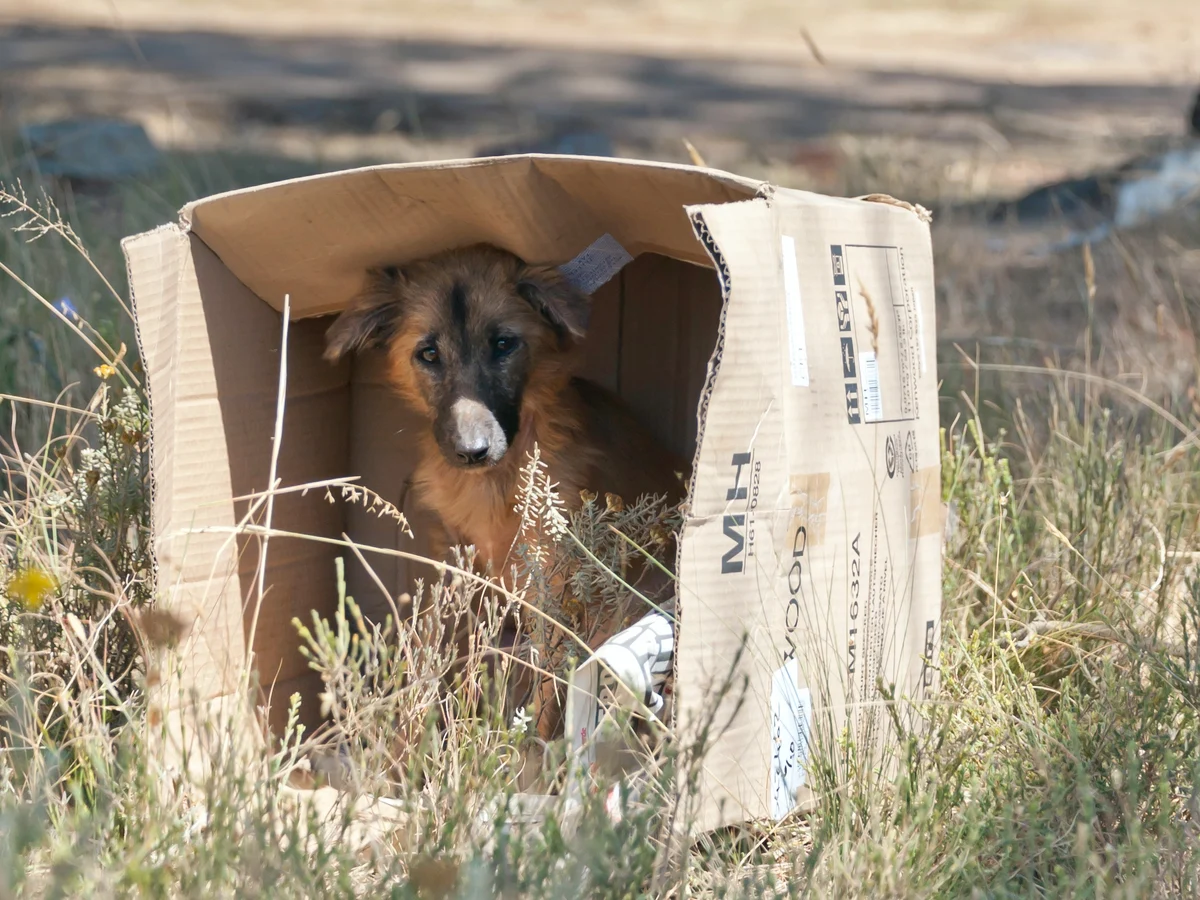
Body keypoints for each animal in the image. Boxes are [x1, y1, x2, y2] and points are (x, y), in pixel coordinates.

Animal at [324, 244, 691, 739]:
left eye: (503, 344)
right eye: (429, 353)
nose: (471, 451)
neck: (493, 484)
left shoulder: (553, 583)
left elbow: (547, 686)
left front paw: (529, 747)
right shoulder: (457, 565)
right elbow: (442, 649)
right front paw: (420, 733)